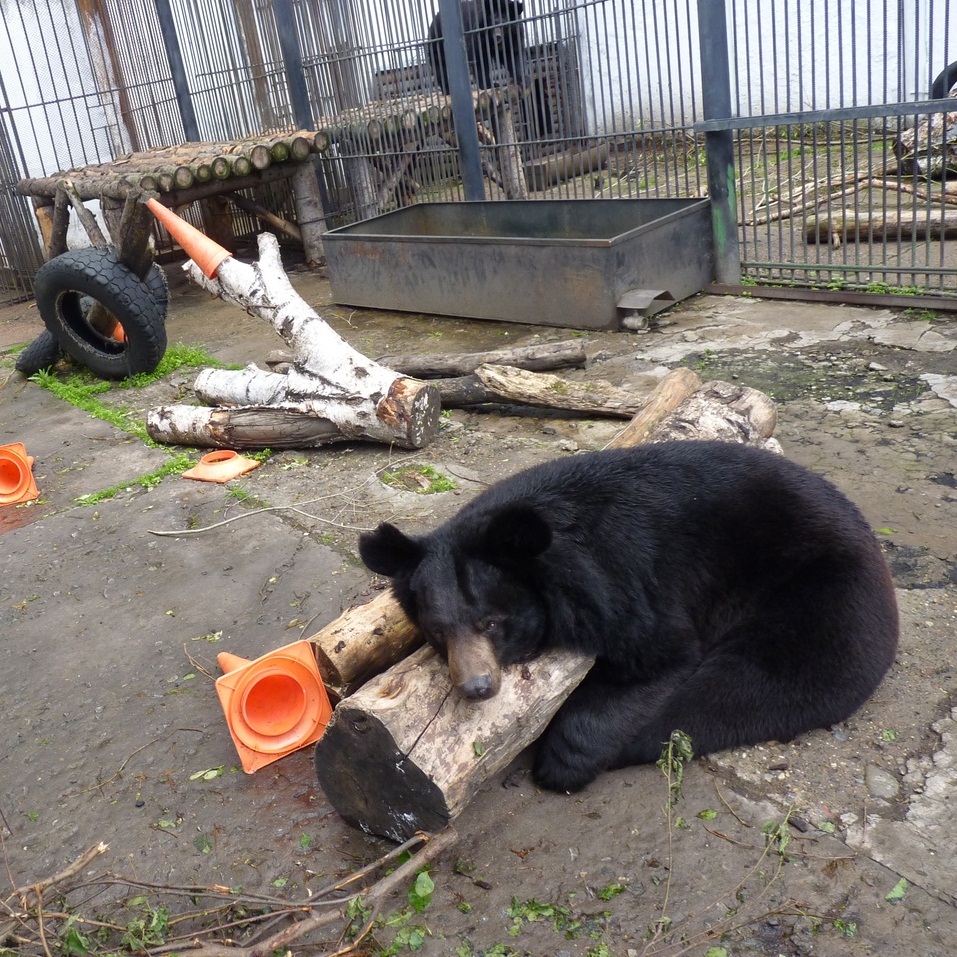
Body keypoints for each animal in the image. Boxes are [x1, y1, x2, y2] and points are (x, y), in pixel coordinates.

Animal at [359, 441, 900, 793]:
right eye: (437, 632)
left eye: (490, 622)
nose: (476, 686)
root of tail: (873, 545)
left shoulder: (623, 582)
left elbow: (660, 657)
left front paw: (562, 761)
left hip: (822, 597)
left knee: (756, 681)